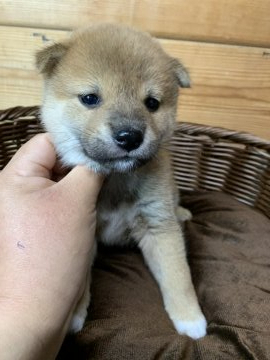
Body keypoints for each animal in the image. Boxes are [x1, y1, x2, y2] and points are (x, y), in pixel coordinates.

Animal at [35, 23, 207, 338]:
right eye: (90, 98)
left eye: (152, 103)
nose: (130, 137)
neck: (116, 180)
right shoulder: (85, 232)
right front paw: (74, 314)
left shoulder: (158, 225)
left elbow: (178, 275)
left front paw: (191, 318)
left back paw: (182, 212)